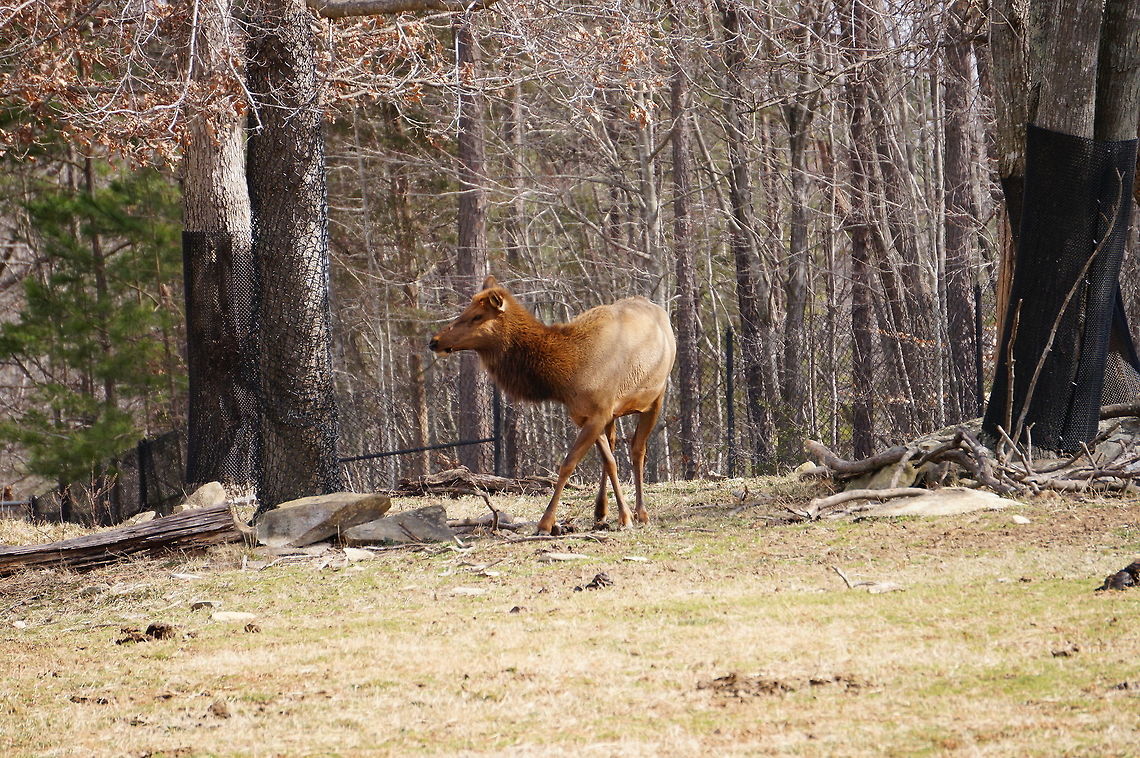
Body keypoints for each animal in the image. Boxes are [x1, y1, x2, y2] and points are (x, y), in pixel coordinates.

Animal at [429, 276, 676, 535]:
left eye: (477, 316)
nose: (434, 341)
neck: (564, 378)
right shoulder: (589, 415)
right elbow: (609, 462)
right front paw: (620, 514)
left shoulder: (598, 413)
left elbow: (568, 464)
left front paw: (546, 522)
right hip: (614, 414)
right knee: (614, 445)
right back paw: (602, 511)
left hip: (656, 397)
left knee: (638, 449)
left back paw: (642, 512)